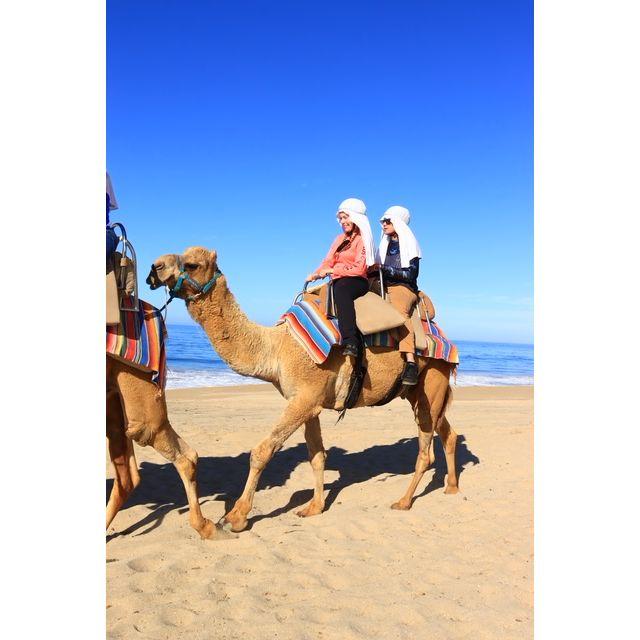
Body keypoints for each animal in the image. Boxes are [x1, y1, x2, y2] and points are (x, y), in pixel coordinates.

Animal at [146, 247, 459, 533]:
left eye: (192, 264)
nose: (155, 267)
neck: (278, 347)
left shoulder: (304, 398)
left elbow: (262, 451)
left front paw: (235, 517)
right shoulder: (310, 402)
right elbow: (317, 456)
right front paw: (314, 507)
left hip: (433, 379)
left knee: (425, 449)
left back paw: (404, 501)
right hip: (419, 392)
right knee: (447, 432)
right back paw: (452, 487)